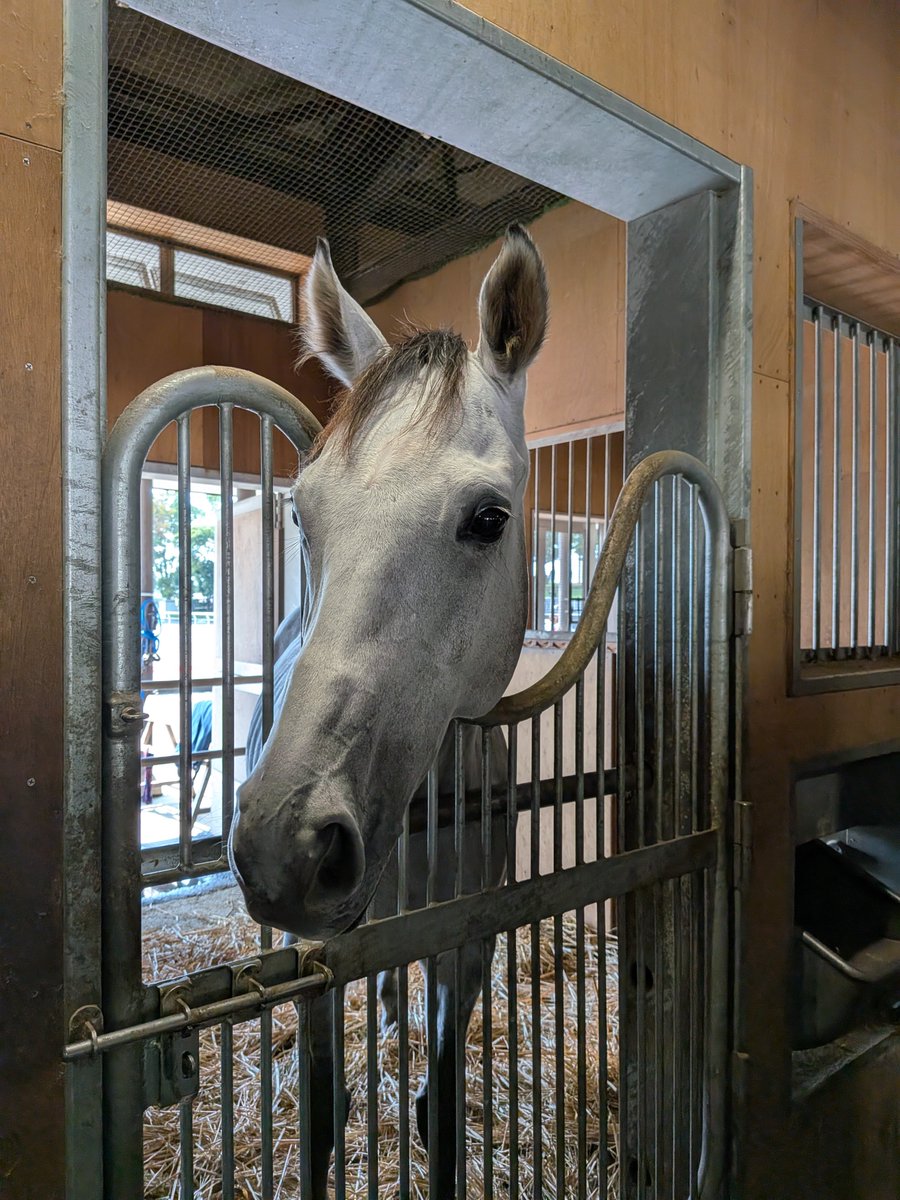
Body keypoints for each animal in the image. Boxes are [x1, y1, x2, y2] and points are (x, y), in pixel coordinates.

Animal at [231, 223, 549, 1196]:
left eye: (489, 518)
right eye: (303, 514)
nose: (290, 847)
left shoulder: (466, 945)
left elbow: (437, 1110)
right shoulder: (320, 960)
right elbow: (324, 1110)